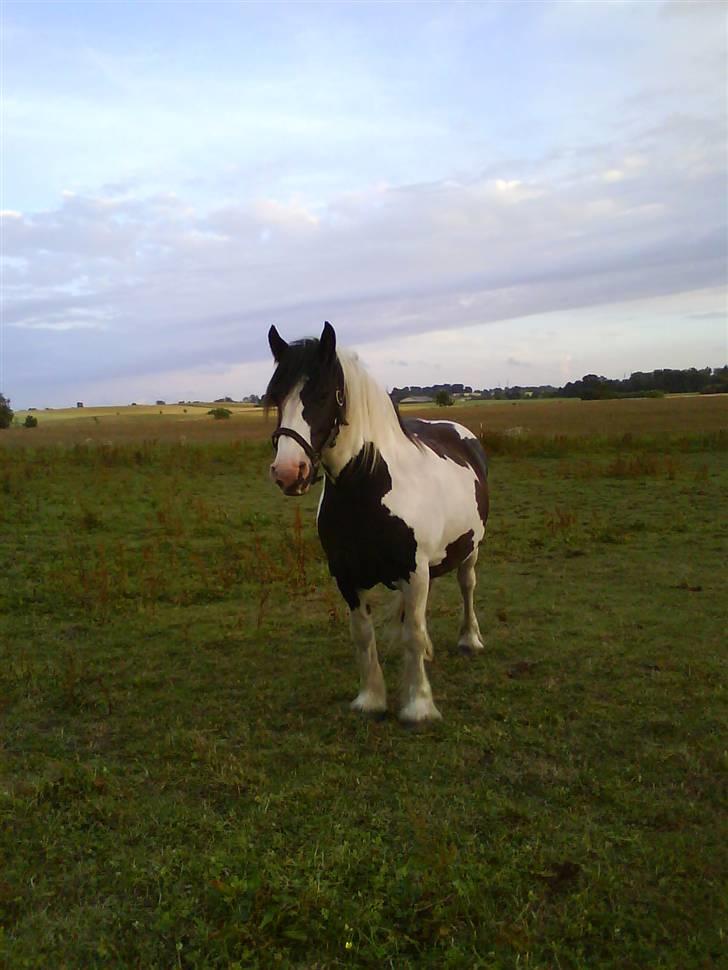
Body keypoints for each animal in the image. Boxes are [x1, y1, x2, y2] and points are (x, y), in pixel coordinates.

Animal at [264, 322, 486, 724]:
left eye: (324, 394)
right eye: (275, 397)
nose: (288, 472)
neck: (369, 488)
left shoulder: (415, 572)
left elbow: (413, 633)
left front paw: (418, 706)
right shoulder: (347, 576)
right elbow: (364, 636)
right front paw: (371, 699)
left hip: (469, 551)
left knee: (467, 586)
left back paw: (469, 640)